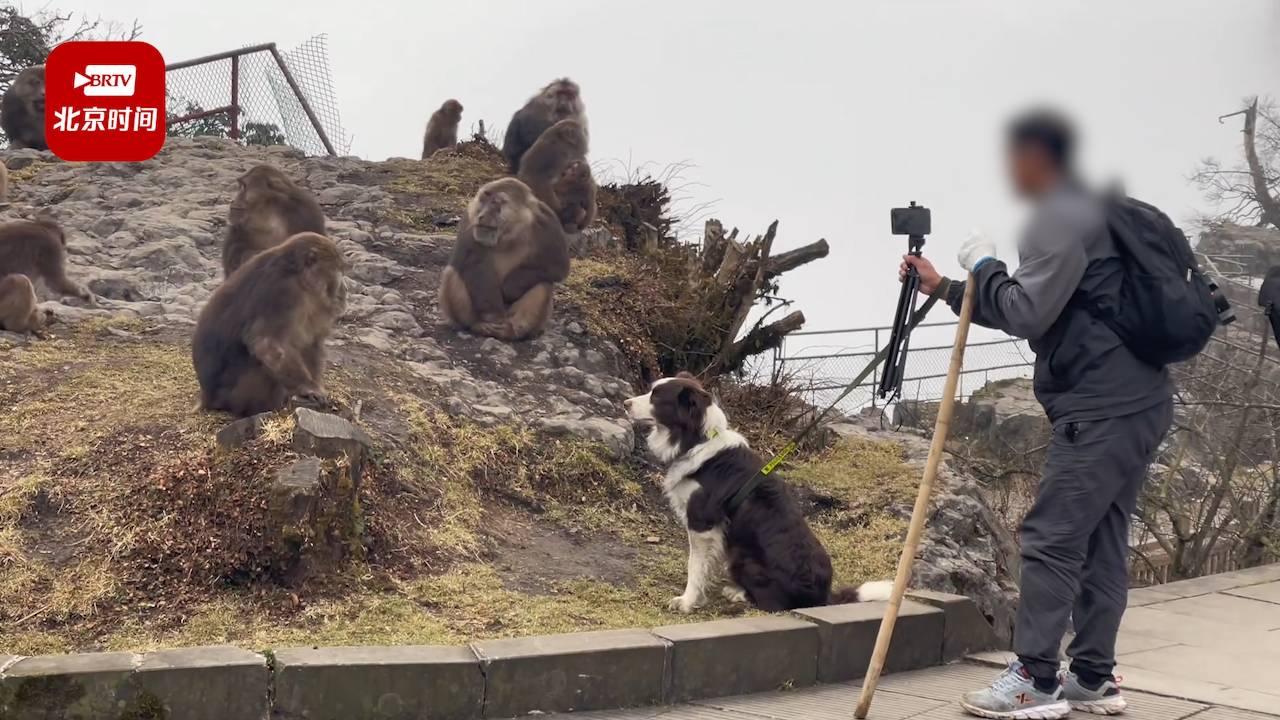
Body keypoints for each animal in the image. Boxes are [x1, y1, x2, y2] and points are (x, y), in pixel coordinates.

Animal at [192, 233, 348, 417]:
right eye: (337, 271)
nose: (344, 288)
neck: (300, 278)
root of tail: (207, 397)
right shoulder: (282, 293)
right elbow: (266, 343)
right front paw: (309, 388)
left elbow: (311, 342)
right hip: (233, 396)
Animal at [440, 175, 570, 338]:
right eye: (483, 199)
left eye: (496, 202)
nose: (482, 216)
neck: (509, 233)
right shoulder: (470, 217)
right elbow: (472, 262)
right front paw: (492, 316)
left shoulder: (547, 221)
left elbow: (557, 265)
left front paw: (509, 288)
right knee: (452, 272)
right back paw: (477, 325)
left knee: (543, 283)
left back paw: (514, 331)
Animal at [622, 368, 890, 609]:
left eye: (656, 397)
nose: (625, 403)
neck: (698, 440)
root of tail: (823, 597)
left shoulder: (702, 524)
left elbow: (694, 566)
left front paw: (687, 601)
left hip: (743, 557)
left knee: (773, 604)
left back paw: (739, 593)